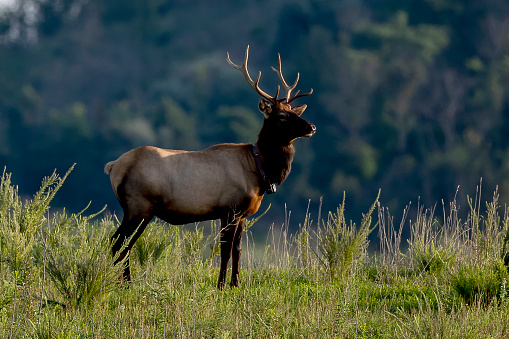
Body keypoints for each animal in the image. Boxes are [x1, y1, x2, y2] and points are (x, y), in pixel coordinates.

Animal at [105, 45, 316, 290]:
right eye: (282, 115)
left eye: (294, 111)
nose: (311, 127)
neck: (260, 170)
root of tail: (113, 166)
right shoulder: (230, 208)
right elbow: (225, 250)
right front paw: (221, 285)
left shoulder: (243, 214)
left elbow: (238, 251)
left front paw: (235, 284)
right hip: (140, 206)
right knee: (121, 243)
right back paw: (125, 283)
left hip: (130, 209)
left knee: (116, 241)